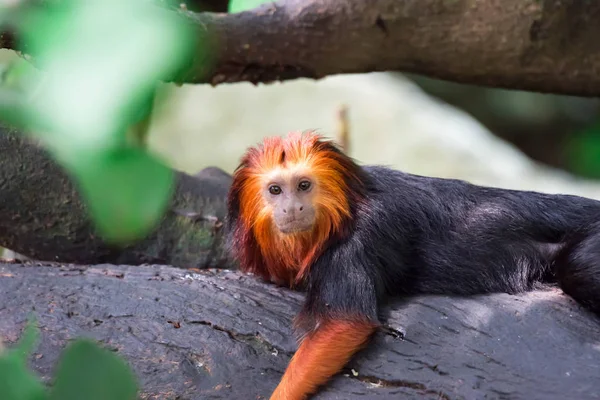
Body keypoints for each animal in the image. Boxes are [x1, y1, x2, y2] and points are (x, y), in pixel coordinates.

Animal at [224, 131, 600, 400]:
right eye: (275, 190)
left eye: (303, 186)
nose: (292, 208)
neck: (343, 211)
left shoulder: (362, 237)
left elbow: (346, 324)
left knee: (578, 268)